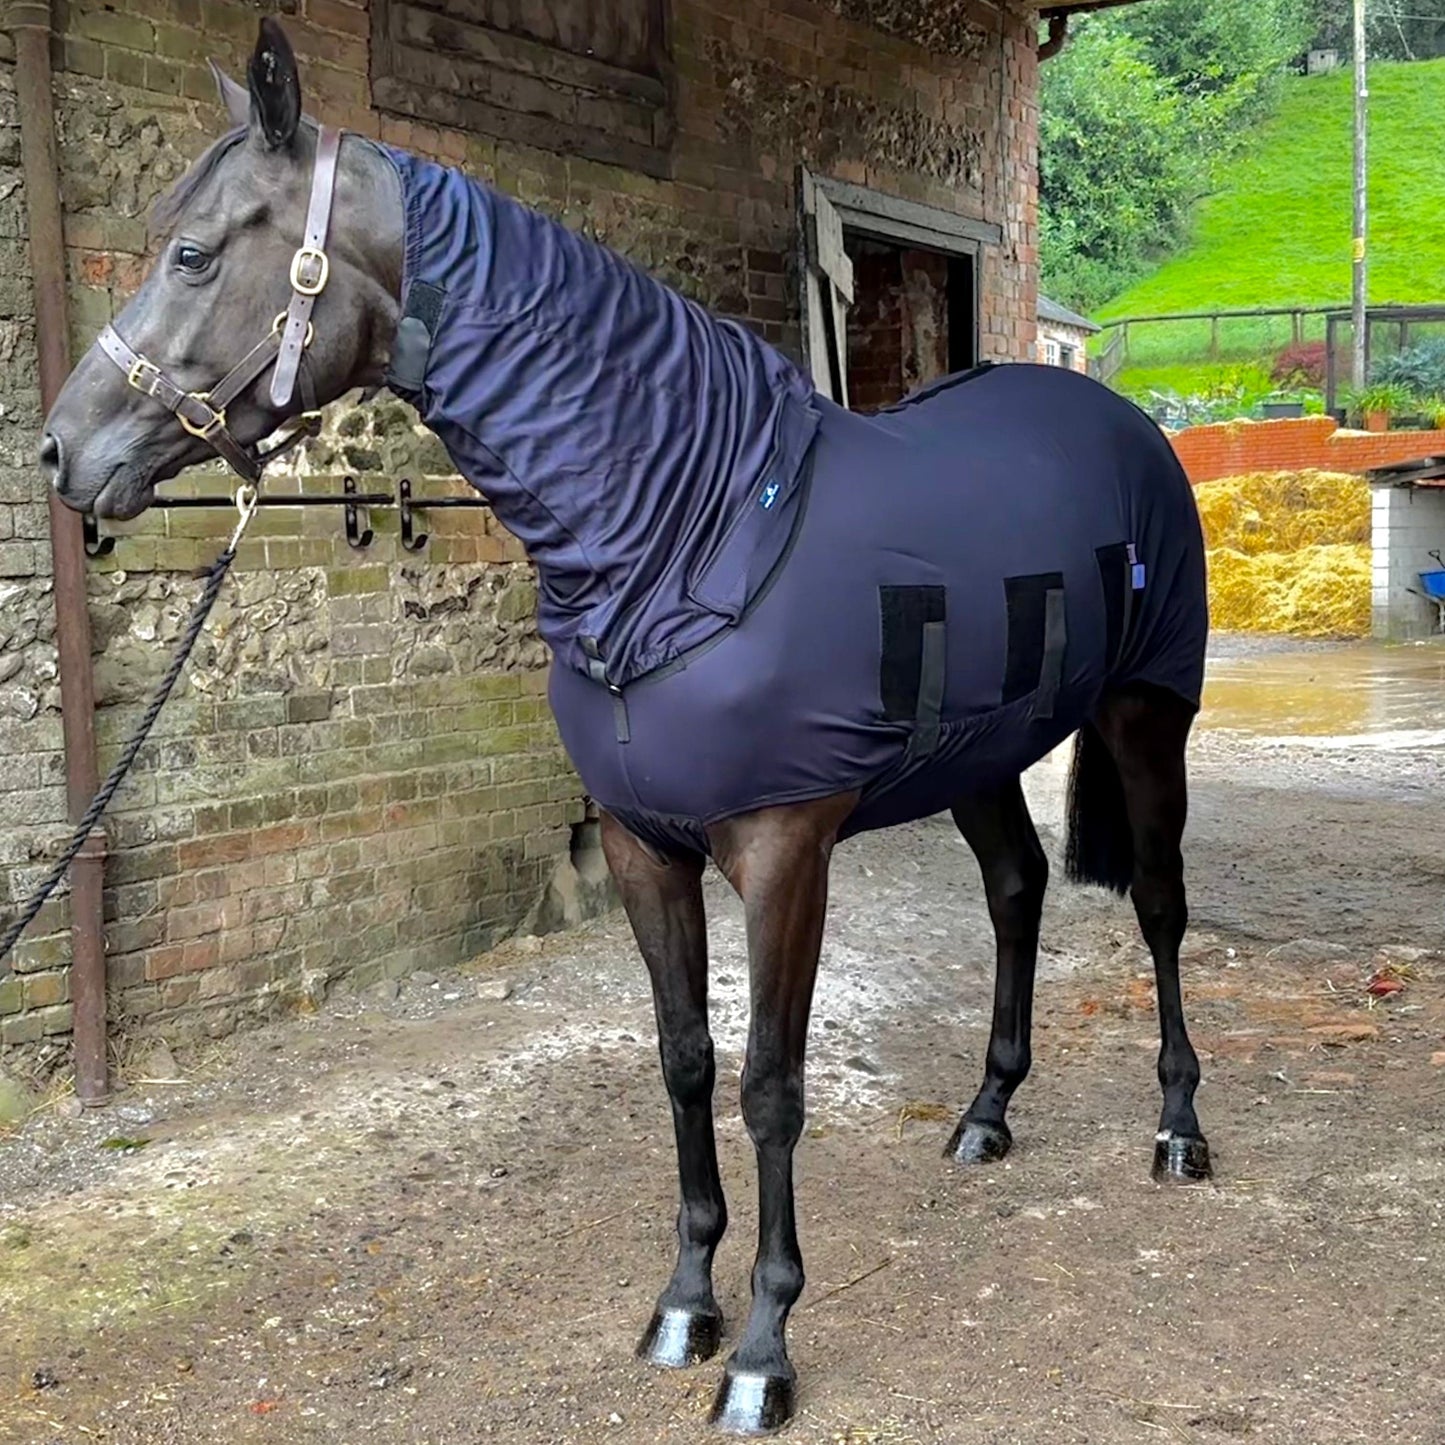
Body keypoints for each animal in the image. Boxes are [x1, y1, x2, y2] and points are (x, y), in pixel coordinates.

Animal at [41, 19, 1212, 1435]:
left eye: (197, 252)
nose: (58, 450)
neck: (690, 529)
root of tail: (1117, 421)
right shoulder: (643, 847)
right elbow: (684, 1062)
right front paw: (683, 1303)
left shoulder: (782, 850)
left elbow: (770, 1084)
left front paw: (762, 1343)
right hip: (976, 752)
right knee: (1015, 888)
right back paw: (986, 1111)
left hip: (1146, 718)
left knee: (1157, 905)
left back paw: (1177, 1129)